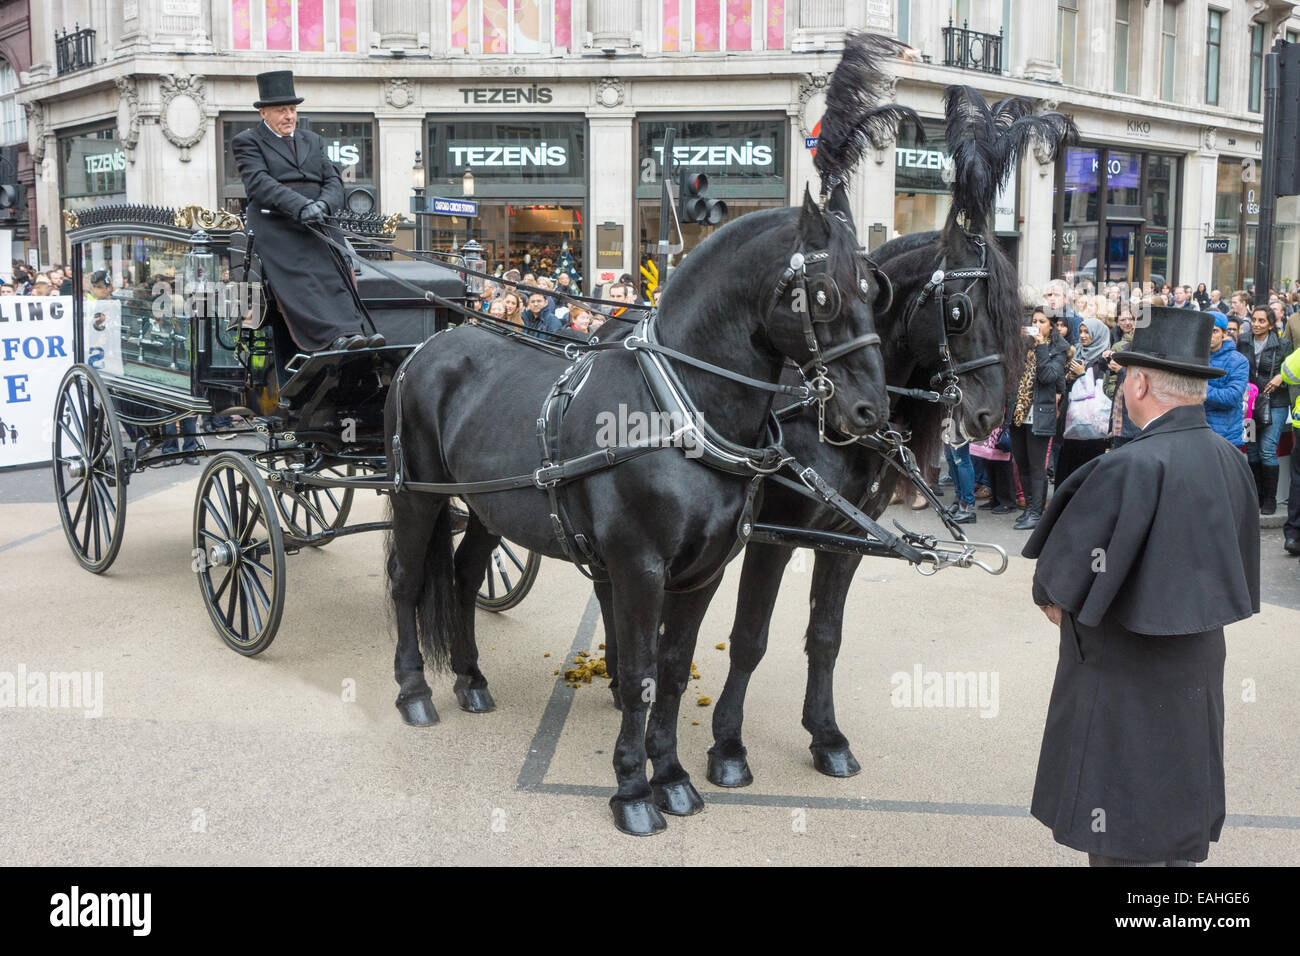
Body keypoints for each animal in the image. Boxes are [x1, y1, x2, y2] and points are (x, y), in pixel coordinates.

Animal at [603, 85, 1081, 790]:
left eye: (1017, 315)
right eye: (960, 312)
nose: (989, 418)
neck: (822, 418)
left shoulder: (846, 541)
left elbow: (825, 637)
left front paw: (825, 735)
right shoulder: (773, 535)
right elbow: (750, 638)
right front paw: (728, 747)